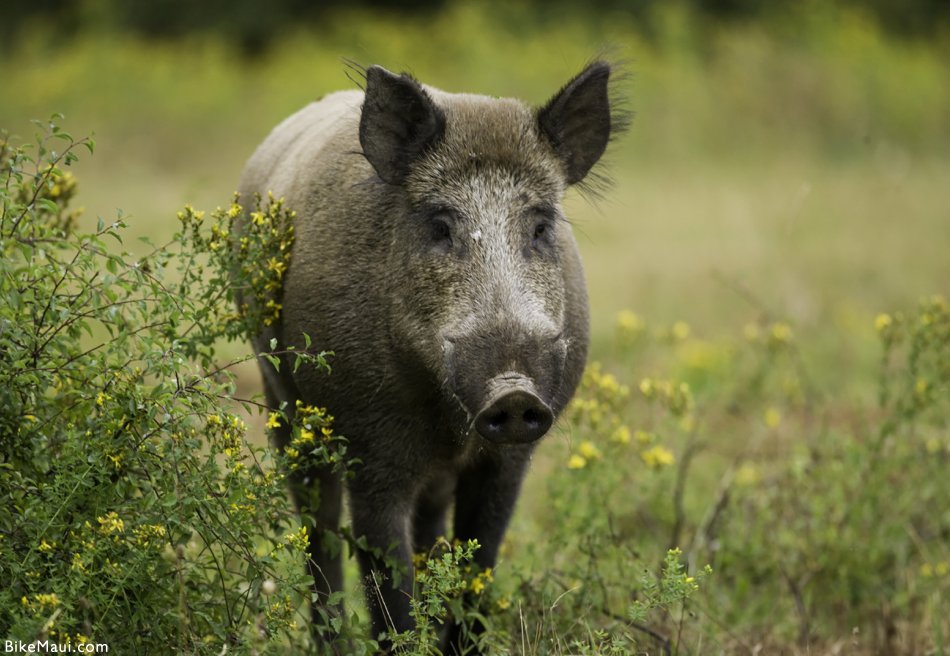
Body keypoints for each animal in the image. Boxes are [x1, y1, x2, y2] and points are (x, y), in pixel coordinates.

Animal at [238, 62, 624, 652]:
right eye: (441, 226)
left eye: (540, 226)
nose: (513, 391)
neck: (449, 419)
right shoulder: (369, 446)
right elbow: (388, 593)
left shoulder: (509, 459)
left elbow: (477, 574)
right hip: (283, 400)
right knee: (317, 532)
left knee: (430, 531)